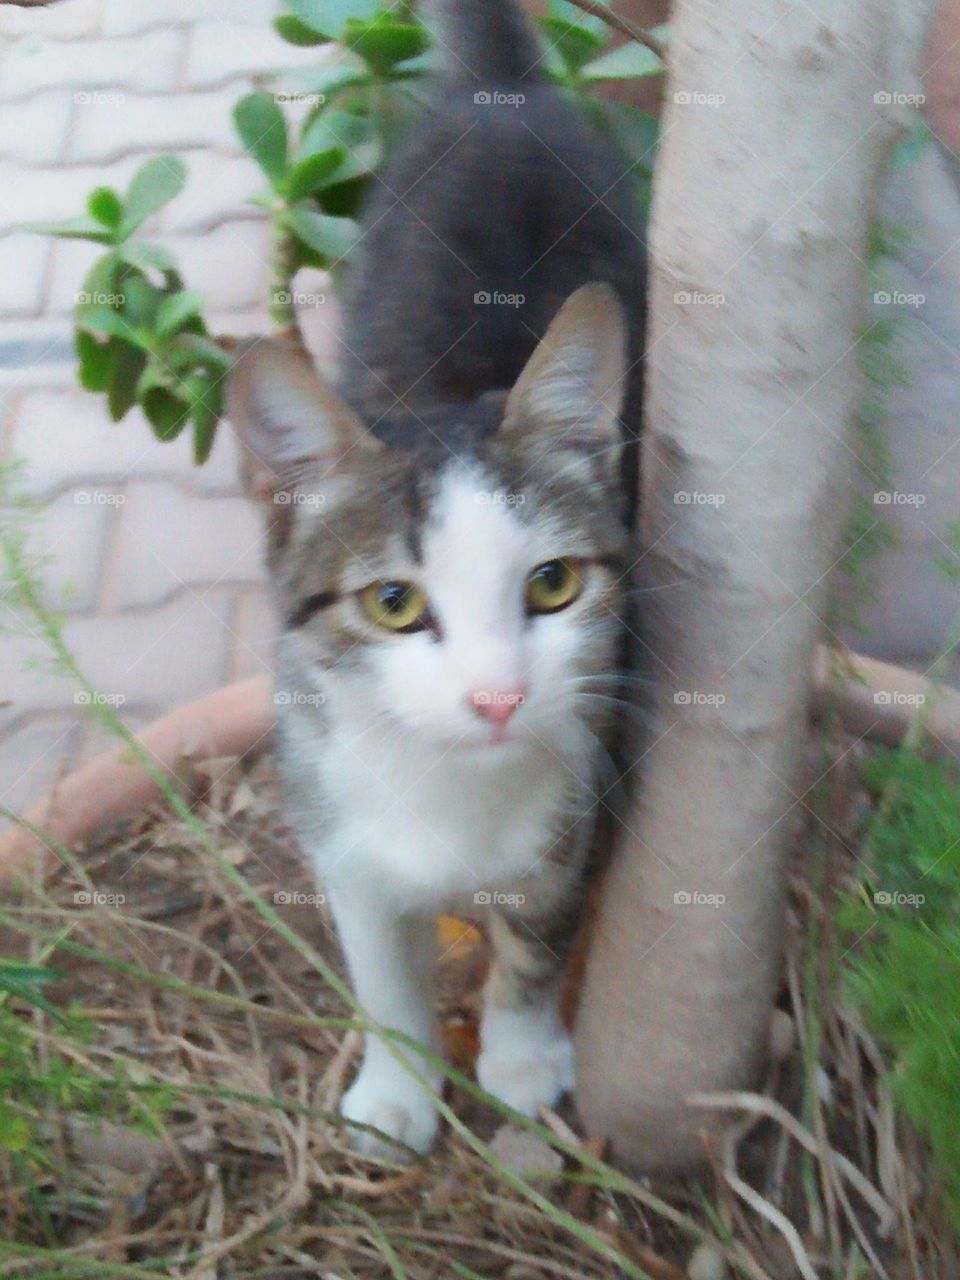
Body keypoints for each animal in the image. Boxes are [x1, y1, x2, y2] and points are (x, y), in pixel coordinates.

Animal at [227, 0, 647, 1162]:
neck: (447, 784)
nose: (499, 697)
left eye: (552, 585)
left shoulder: (590, 782)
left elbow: (541, 928)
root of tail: (498, 94)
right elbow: (380, 966)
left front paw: (520, 1053)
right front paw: (399, 1085)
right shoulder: (331, 816)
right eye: (394, 603)